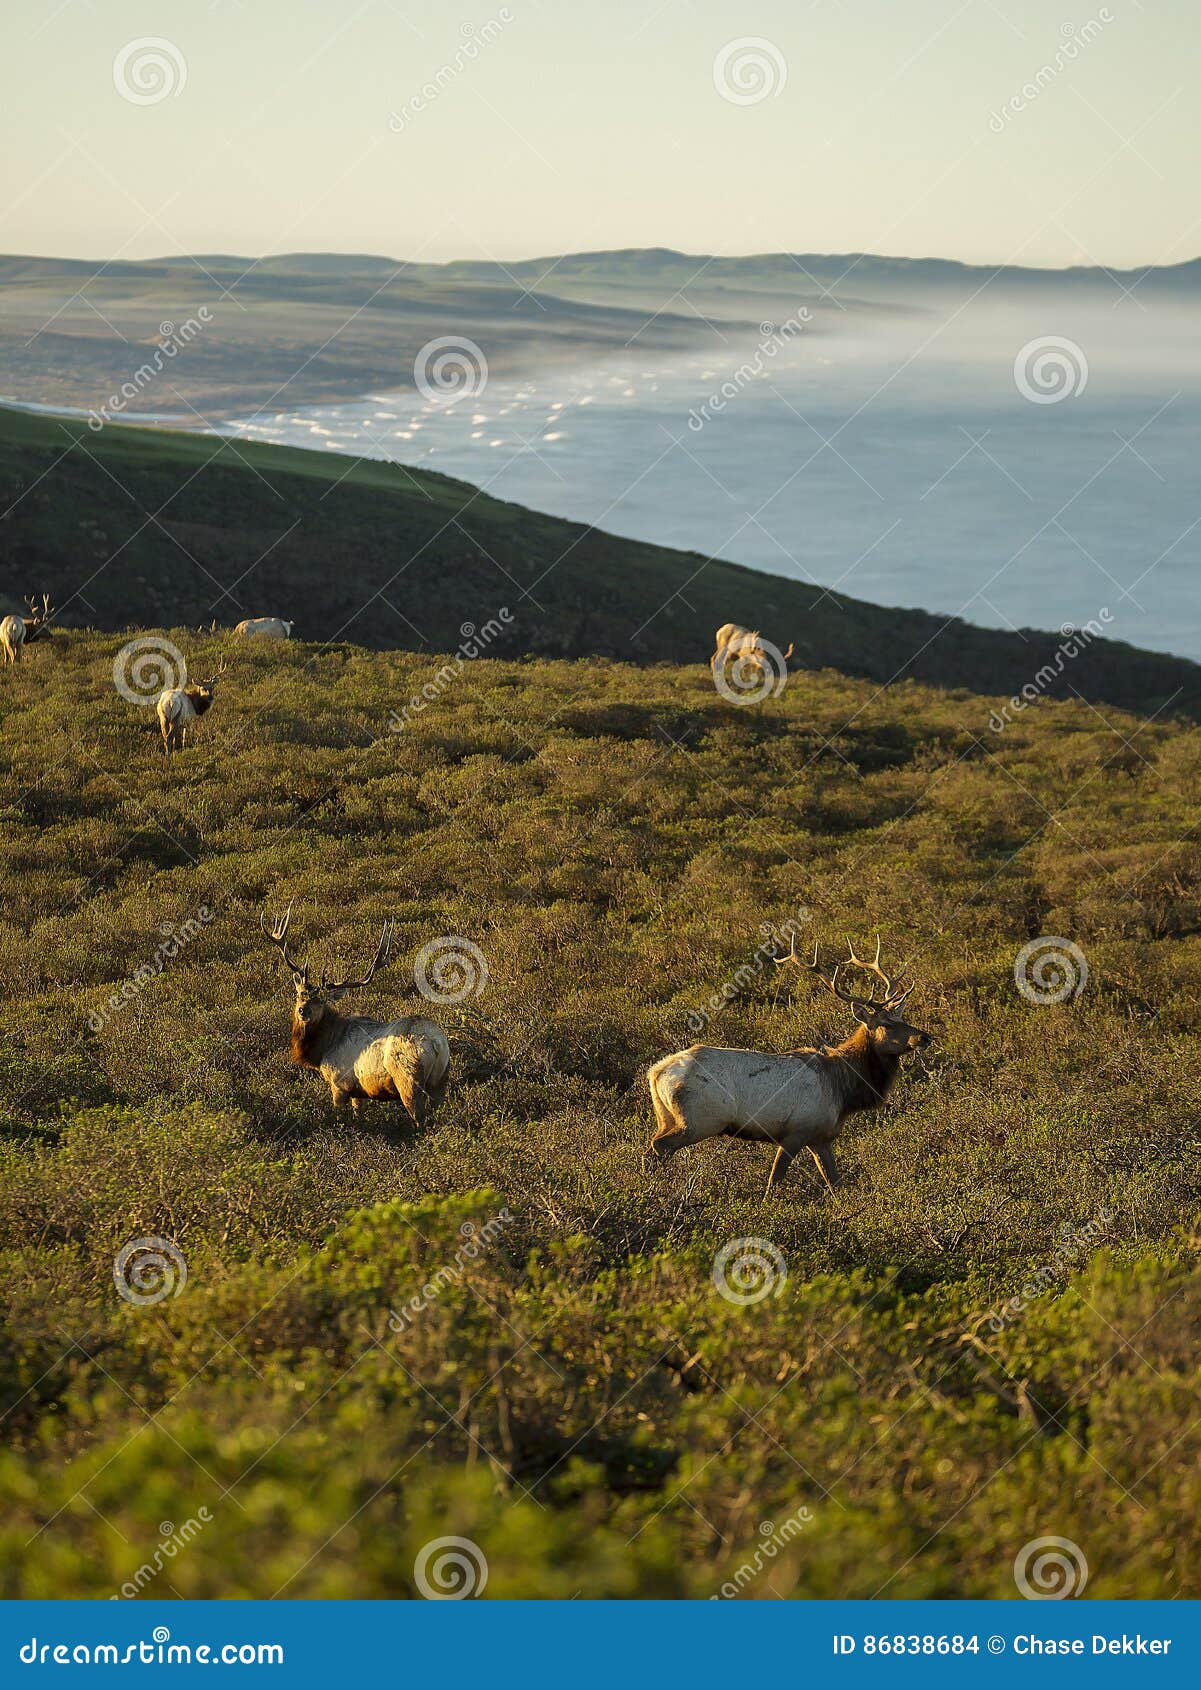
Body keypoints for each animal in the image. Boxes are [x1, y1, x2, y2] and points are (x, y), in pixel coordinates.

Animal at [263, 905, 452, 1128]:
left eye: (321, 1001)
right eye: (300, 994)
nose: (303, 1011)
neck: (323, 1047)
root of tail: (436, 1043)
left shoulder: (339, 1083)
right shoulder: (358, 1092)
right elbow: (358, 1113)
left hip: (408, 1080)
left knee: (419, 1119)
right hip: (441, 1080)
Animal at [652, 939, 932, 1203]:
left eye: (903, 1019)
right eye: (886, 1024)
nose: (925, 1037)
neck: (843, 1090)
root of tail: (656, 1073)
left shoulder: (822, 1137)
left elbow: (835, 1182)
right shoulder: (796, 1131)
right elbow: (774, 1180)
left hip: (666, 1116)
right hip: (700, 1119)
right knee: (661, 1145)